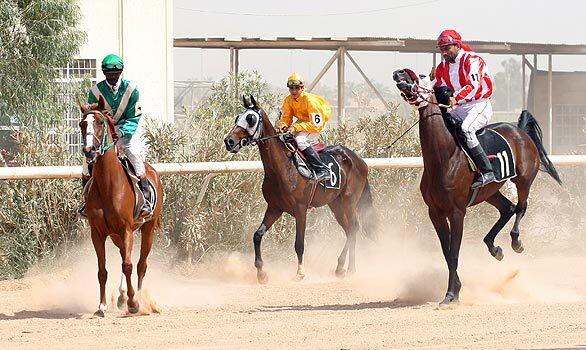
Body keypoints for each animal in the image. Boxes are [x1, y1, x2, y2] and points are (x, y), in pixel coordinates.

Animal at [78, 96, 162, 318]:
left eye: (100, 122)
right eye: (82, 124)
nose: (89, 151)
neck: (108, 185)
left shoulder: (126, 229)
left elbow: (128, 265)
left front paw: (133, 303)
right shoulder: (98, 233)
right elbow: (102, 270)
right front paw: (102, 305)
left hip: (148, 228)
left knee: (140, 264)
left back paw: (139, 299)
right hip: (116, 236)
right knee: (125, 258)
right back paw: (122, 295)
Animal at [224, 94, 374, 284]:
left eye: (250, 119)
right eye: (237, 117)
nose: (229, 141)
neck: (282, 168)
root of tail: (359, 160)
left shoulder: (301, 210)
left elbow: (299, 244)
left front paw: (300, 272)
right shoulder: (275, 208)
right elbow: (257, 235)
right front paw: (261, 273)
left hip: (349, 201)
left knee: (353, 229)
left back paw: (348, 268)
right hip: (336, 204)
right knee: (350, 230)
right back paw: (343, 268)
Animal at [390, 70, 560, 306]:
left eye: (421, 76)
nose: (398, 74)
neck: (444, 157)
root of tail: (519, 130)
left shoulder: (457, 212)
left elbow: (454, 253)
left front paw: (450, 295)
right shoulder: (435, 212)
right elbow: (446, 253)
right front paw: (457, 289)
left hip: (524, 180)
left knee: (520, 207)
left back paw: (516, 241)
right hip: (490, 191)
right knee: (507, 208)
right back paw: (494, 247)